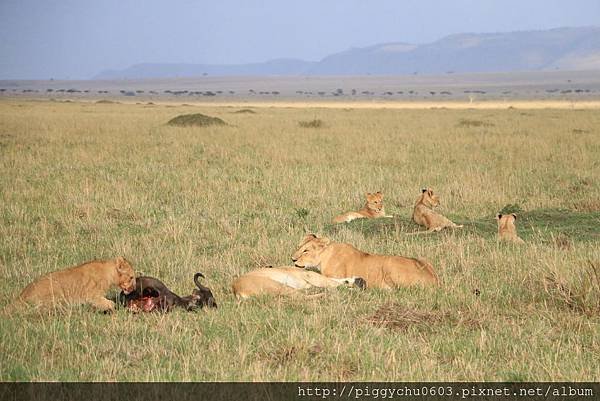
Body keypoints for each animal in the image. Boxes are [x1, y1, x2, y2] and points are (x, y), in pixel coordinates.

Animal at [292, 234, 438, 288]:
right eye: (298, 247)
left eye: (306, 251)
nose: (292, 259)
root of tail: (435, 280)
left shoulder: (334, 275)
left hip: (389, 264)